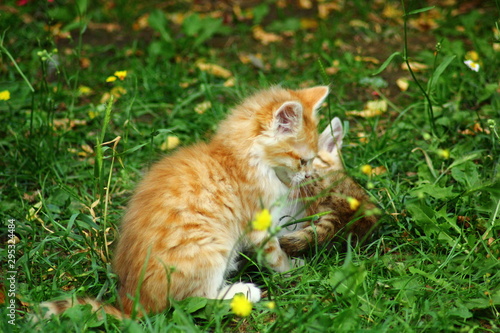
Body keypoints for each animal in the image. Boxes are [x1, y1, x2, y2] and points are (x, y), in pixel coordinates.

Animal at [39, 85, 328, 316]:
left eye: (313, 159)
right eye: (304, 160)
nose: (308, 175)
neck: (236, 159)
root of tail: (133, 306)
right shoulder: (258, 223)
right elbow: (274, 254)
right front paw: (292, 269)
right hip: (210, 247)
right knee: (194, 300)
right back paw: (242, 292)